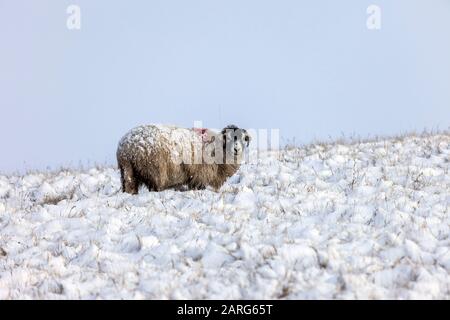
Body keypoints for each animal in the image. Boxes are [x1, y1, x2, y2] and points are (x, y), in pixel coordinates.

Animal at [116, 123, 251, 194]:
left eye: (243, 138)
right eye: (228, 138)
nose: (236, 149)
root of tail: (126, 148)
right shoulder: (200, 176)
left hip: (128, 171)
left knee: (129, 186)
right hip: (154, 169)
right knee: (155, 186)